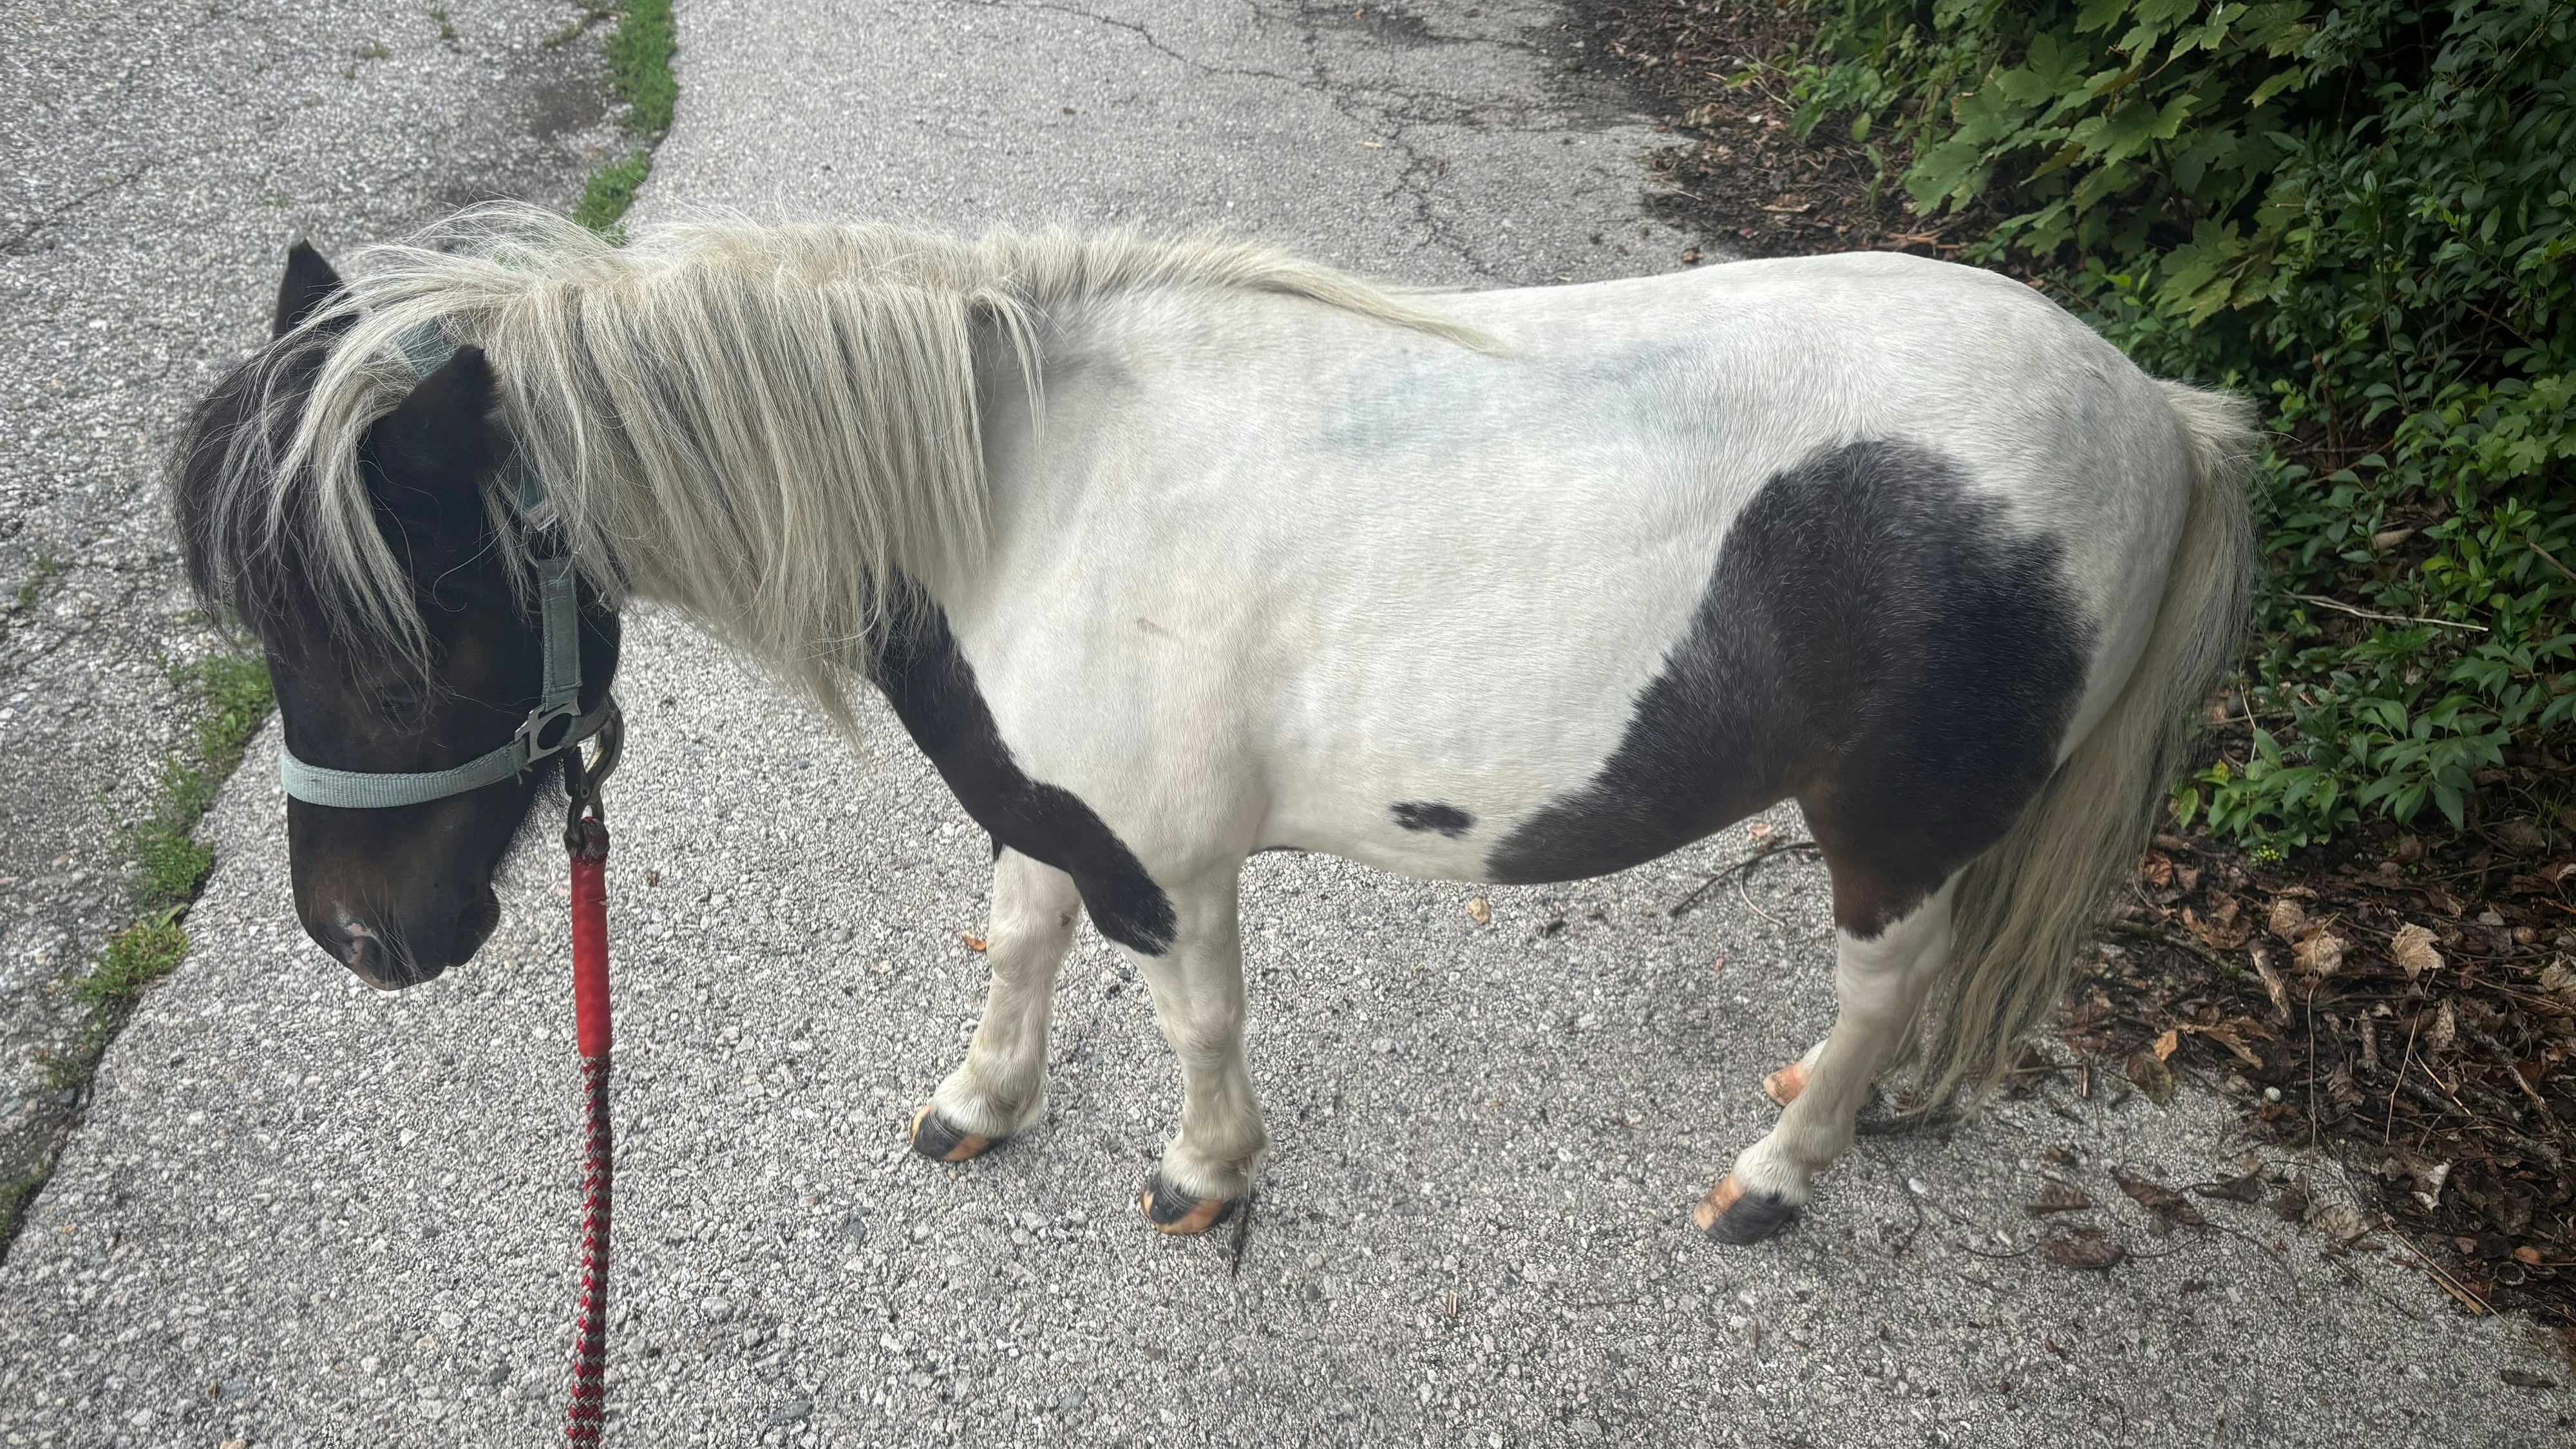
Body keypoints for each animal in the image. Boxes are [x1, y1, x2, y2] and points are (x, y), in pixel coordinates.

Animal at [172, 203, 2253, 1244]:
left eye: (409, 626)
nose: (358, 939)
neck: (1015, 491)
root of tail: (2151, 410)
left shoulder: (1165, 859)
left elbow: (1191, 1018)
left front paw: (1202, 1174)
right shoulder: (1049, 807)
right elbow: (1013, 935)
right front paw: (981, 1105)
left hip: (1884, 820)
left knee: (1889, 979)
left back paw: (1778, 1175)